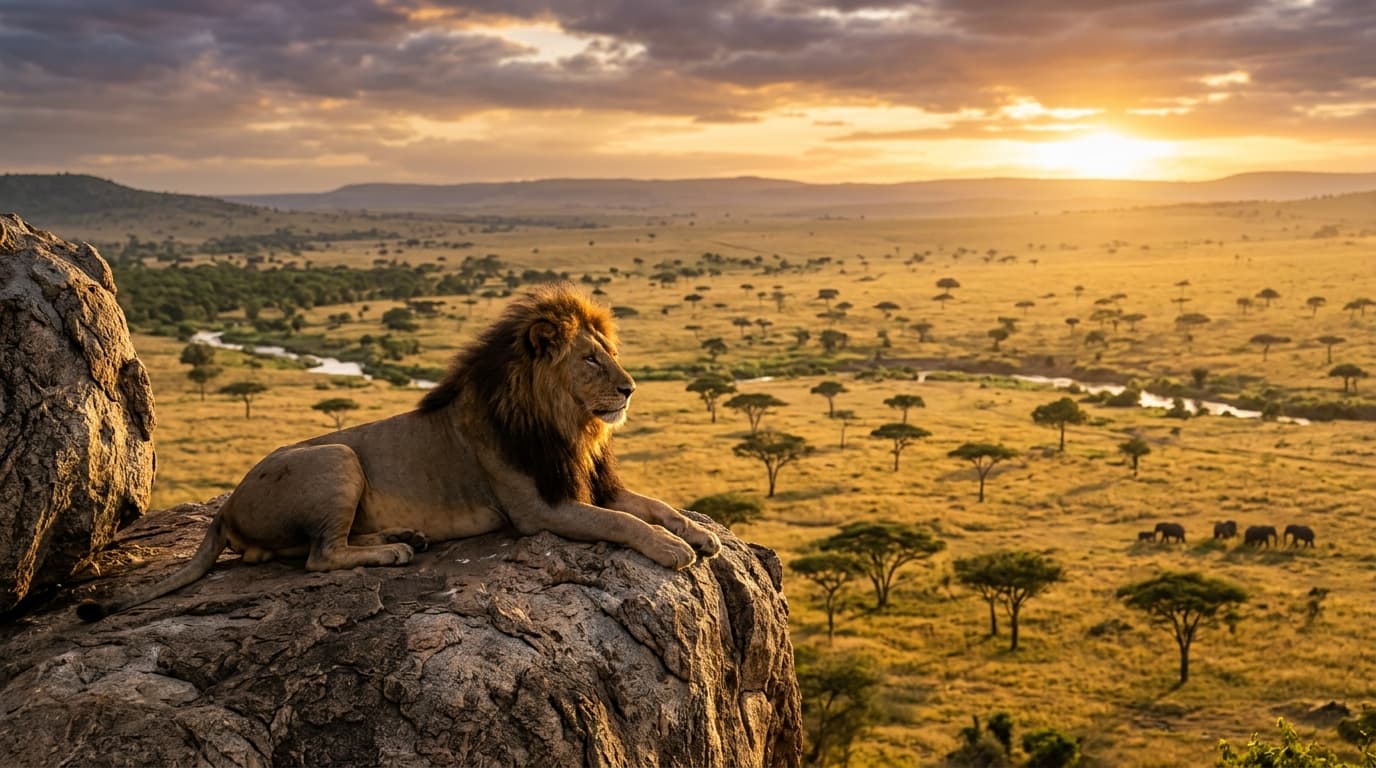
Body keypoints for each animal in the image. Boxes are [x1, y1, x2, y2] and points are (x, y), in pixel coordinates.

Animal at [78, 284, 720, 621]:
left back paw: (401, 536)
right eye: (590, 359)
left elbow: (652, 505)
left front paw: (698, 533)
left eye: (609, 353)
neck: (568, 424)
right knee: (318, 557)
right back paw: (393, 553)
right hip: (338, 457)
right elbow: (621, 522)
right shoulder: (539, 509)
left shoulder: (591, 481)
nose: (630, 389)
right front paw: (672, 549)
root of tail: (226, 507)